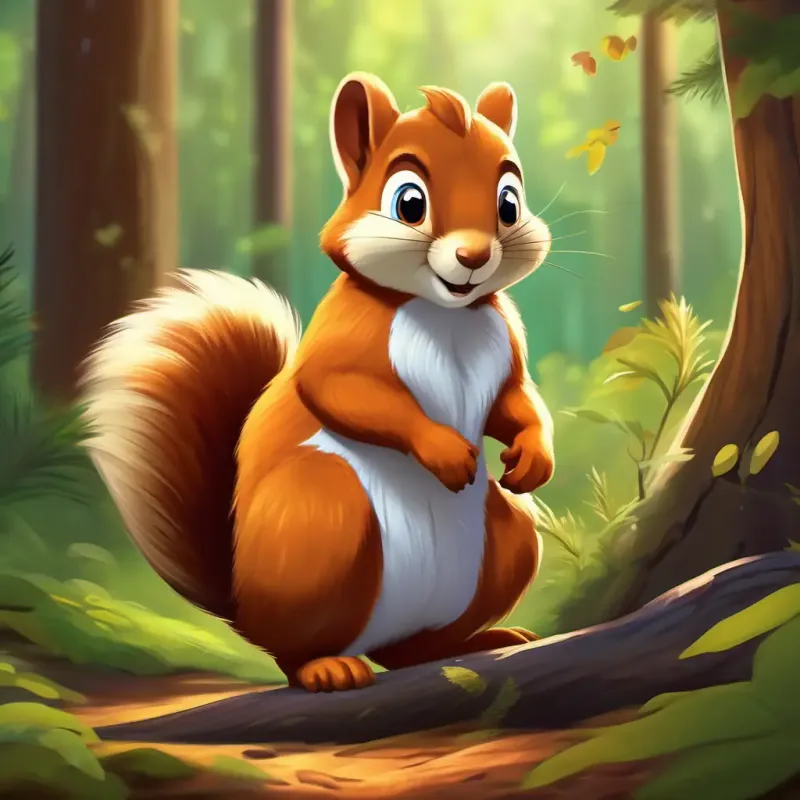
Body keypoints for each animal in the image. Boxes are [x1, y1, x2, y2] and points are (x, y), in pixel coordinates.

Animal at [80, 72, 555, 694]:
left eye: (509, 203)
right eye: (409, 203)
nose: (474, 256)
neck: (446, 312)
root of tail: (243, 606)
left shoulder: (507, 355)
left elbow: (516, 403)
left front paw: (535, 457)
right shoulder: (339, 344)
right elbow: (346, 394)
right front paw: (445, 451)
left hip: (509, 537)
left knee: (413, 648)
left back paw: (482, 639)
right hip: (323, 515)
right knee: (291, 650)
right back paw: (325, 667)